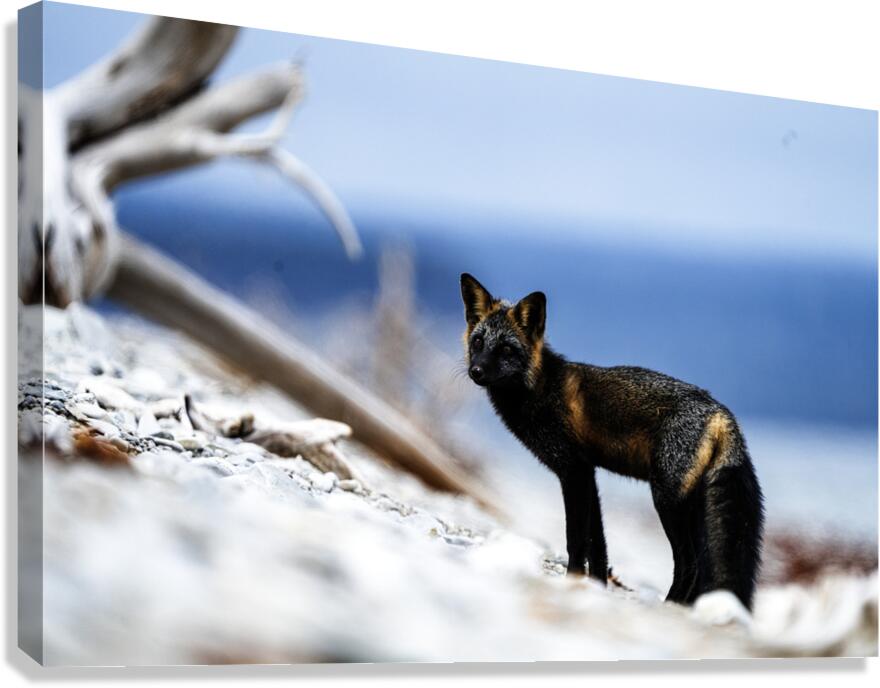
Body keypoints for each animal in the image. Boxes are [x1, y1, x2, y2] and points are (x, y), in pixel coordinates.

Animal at [460, 273, 765, 610]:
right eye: (478, 342)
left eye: (505, 349)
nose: (476, 371)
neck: (540, 389)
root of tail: (721, 412)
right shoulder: (588, 473)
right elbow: (598, 544)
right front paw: (594, 586)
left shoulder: (573, 470)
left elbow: (576, 538)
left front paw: (572, 582)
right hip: (692, 505)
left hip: (667, 500)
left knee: (691, 564)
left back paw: (670, 606)